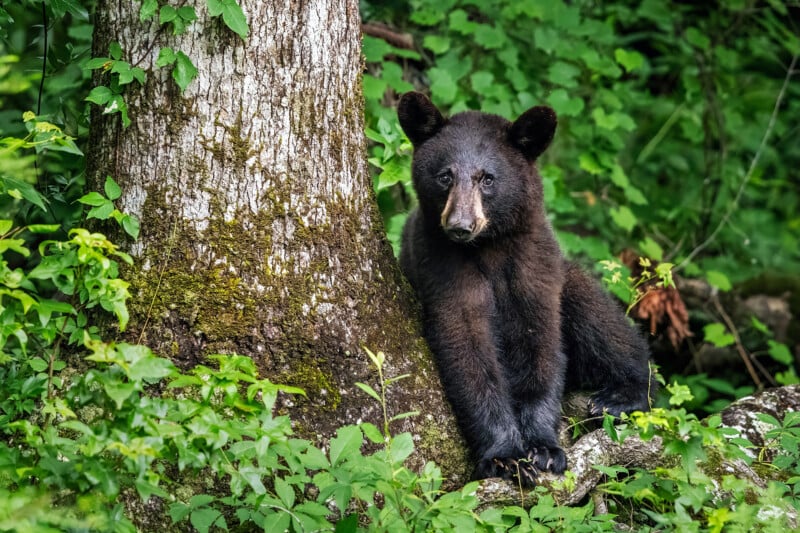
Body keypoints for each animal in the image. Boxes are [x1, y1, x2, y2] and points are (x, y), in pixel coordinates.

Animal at [397, 91, 654, 487]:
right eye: (444, 176)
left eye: (488, 178)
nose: (460, 225)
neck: (489, 247)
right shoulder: (442, 268)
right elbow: (466, 346)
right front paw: (505, 456)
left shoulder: (534, 264)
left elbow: (540, 341)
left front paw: (544, 447)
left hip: (569, 276)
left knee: (601, 320)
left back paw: (618, 396)